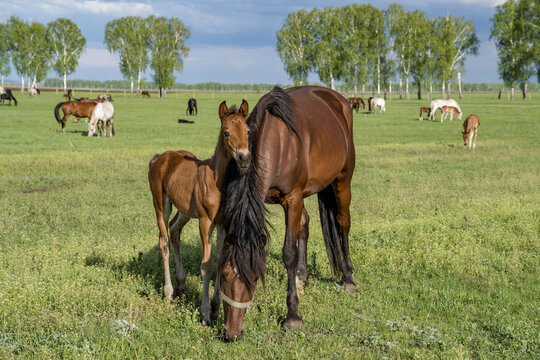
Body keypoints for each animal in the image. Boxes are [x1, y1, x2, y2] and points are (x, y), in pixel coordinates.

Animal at [147, 100, 250, 328]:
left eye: (248, 131)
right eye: (227, 132)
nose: (244, 157)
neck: (217, 180)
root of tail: (159, 157)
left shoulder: (223, 223)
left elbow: (220, 262)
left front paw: (216, 308)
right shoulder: (205, 221)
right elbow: (207, 265)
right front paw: (205, 314)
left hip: (185, 210)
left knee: (174, 230)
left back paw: (181, 285)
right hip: (161, 204)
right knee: (163, 240)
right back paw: (169, 294)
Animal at [217, 86, 356, 342]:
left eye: (254, 278)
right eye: (223, 276)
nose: (232, 333)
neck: (277, 144)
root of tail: (339, 100)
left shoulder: (292, 198)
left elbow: (288, 253)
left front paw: (292, 315)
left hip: (343, 178)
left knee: (343, 223)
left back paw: (348, 277)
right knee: (305, 224)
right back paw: (302, 277)